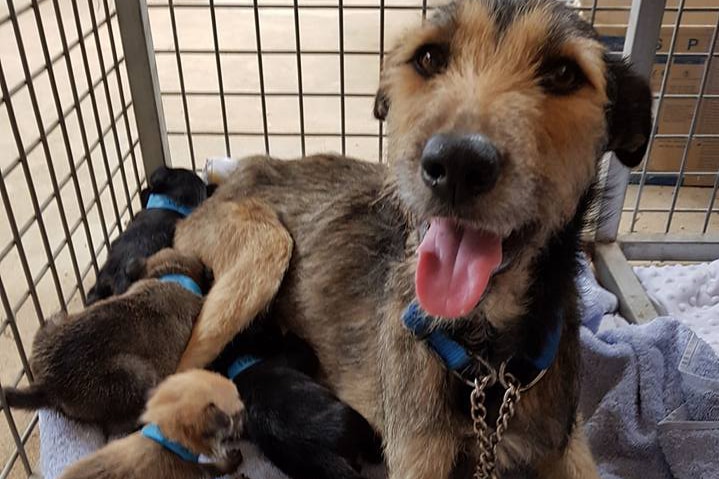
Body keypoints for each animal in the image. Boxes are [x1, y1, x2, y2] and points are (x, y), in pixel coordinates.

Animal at [59, 370, 245, 479]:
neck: (167, 440)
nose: (245, 415)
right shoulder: (196, 471)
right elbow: (215, 467)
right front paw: (232, 461)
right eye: (236, 415)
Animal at [211, 318, 386, 479]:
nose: (275, 324)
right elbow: (304, 350)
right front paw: (290, 333)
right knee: (372, 448)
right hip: (354, 419)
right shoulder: (298, 357)